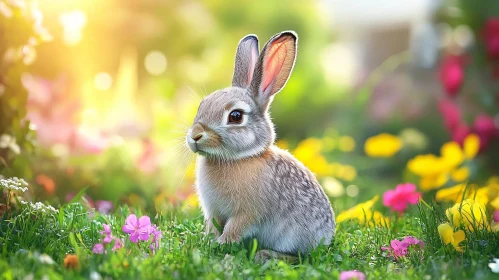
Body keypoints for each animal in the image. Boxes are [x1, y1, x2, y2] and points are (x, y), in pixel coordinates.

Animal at [188, 30, 336, 260]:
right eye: (201, 106)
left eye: (235, 116)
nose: (195, 136)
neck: (239, 158)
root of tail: (327, 235)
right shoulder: (213, 212)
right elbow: (212, 227)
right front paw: (208, 241)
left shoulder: (247, 213)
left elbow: (234, 229)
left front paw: (221, 244)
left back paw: (265, 255)